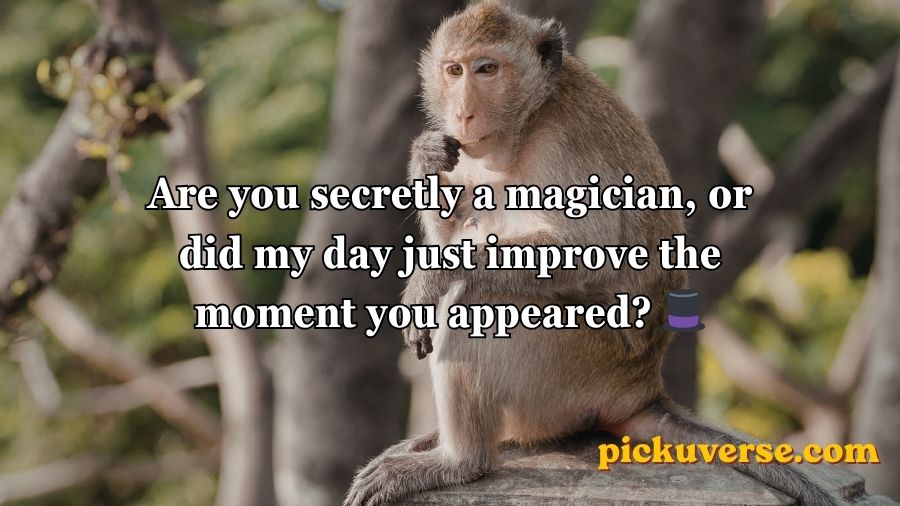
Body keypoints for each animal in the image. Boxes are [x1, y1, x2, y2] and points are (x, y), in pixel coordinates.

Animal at [345, 2, 839, 505]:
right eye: (453, 70)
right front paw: (424, 159)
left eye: (487, 69)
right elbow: (457, 224)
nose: (463, 114)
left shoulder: (565, 145)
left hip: (577, 367)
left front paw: (431, 277)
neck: (528, 119)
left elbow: (580, 255)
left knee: (483, 298)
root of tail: (642, 390)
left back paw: (459, 461)